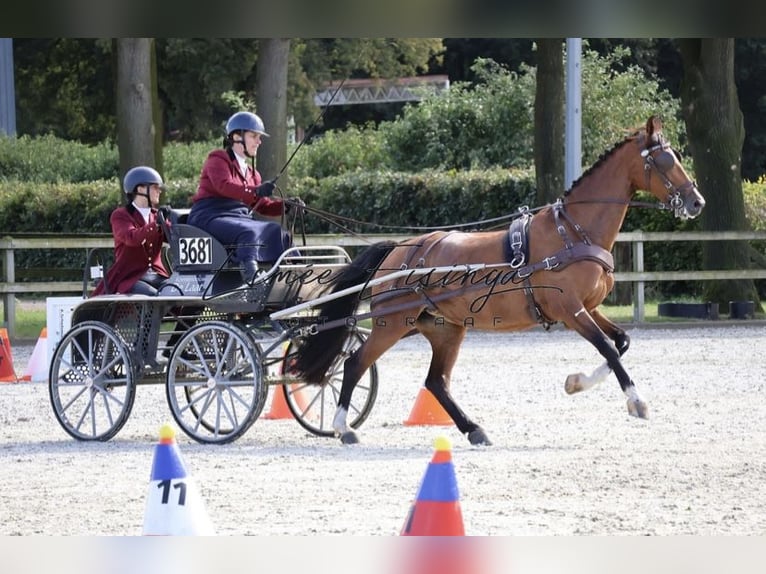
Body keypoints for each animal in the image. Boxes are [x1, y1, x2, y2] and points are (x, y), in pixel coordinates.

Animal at [292, 117, 708, 448]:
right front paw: (636, 401)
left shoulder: (590, 307)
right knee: (353, 364)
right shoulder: (571, 310)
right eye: (665, 160)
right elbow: (608, 348)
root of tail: (400, 250)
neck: (573, 231)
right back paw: (343, 427)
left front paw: (575, 382)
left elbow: (620, 344)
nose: (697, 202)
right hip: (392, 324)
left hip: (445, 329)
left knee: (436, 381)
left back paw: (474, 429)